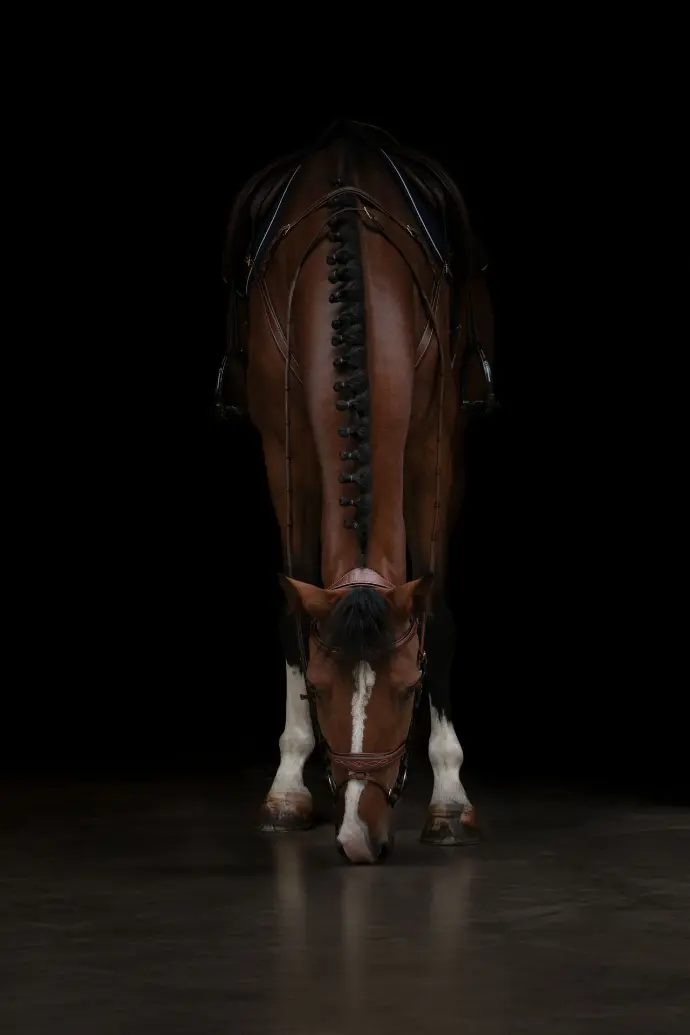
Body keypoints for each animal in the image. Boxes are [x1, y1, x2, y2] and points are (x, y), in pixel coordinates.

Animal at [219, 119, 496, 863]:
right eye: (319, 687)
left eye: (408, 687)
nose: (355, 837)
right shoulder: (282, 453)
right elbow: (293, 612)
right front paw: (289, 784)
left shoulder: (433, 449)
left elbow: (441, 614)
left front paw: (450, 796)